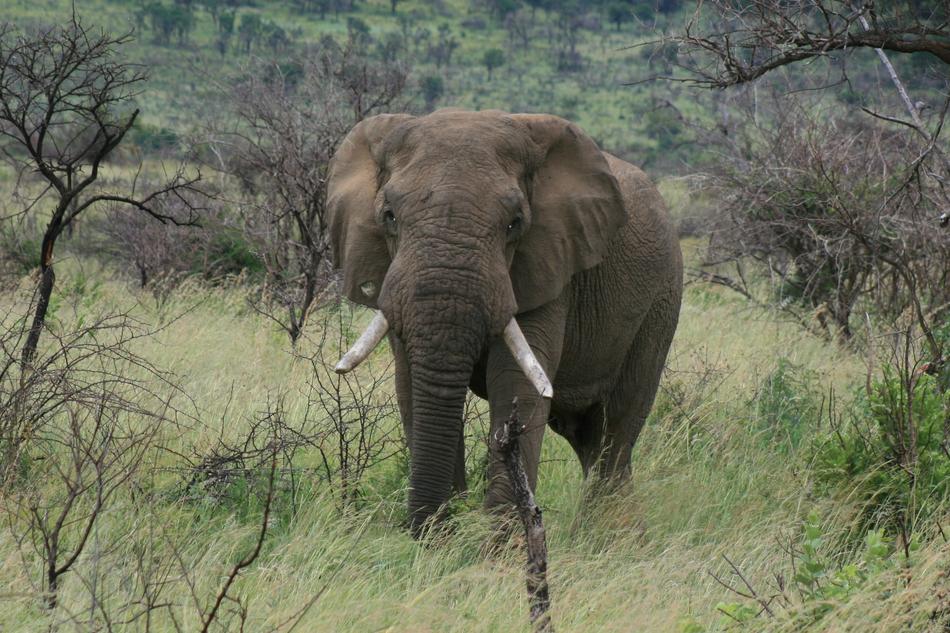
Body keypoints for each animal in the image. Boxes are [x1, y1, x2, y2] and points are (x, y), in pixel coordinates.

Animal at [327, 109, 683, 535]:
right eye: (389, 216)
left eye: (514, 223)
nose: (427, 529)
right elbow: (411, 382)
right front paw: (445, 539)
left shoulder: (550, 265)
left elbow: (516, 383)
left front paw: (498, 543)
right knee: (586, 435)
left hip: (661, 300)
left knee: (616, 429)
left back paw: (611, 536)